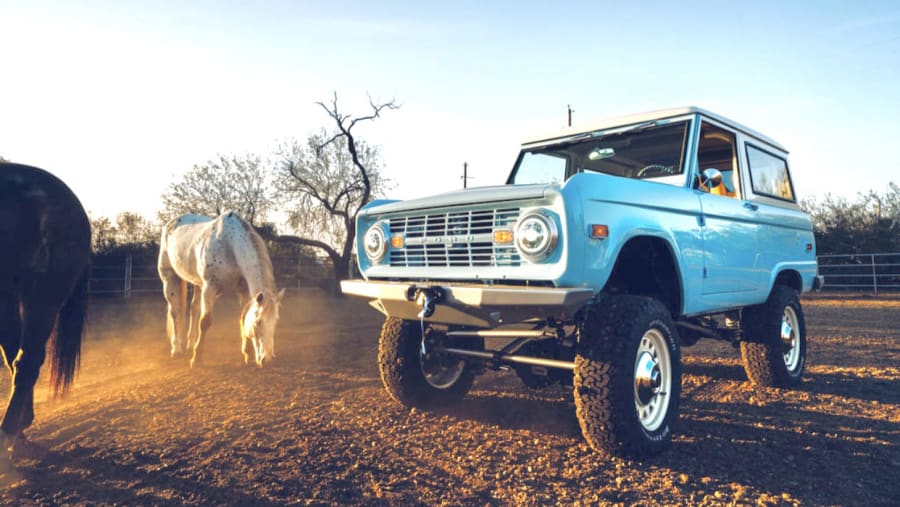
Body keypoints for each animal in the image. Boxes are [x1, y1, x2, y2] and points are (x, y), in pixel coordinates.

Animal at [156, 212, 284, 368]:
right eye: (258, 322)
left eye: (275, 323)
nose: (268, 359)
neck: (230, 245)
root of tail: (171, 223)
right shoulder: (210, 287)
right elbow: (205, 322)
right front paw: (196, 359)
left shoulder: (243, 289)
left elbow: (243, 317)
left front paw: (247, 355)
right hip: (169, 278)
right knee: (175, 312)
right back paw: (176, 349)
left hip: (198, 284)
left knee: (194, 309)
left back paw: (191, 345)